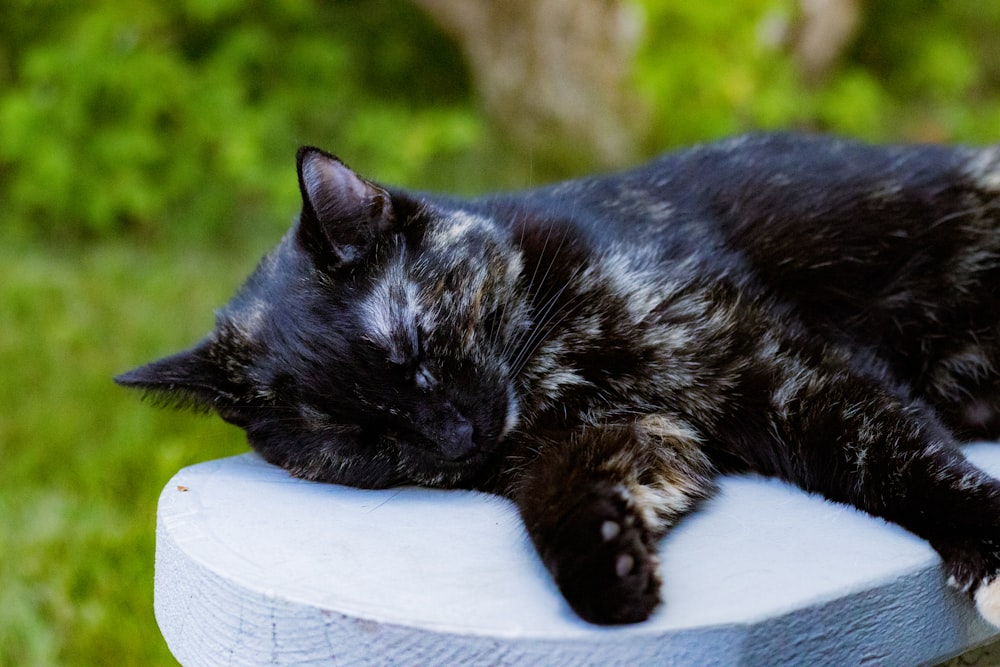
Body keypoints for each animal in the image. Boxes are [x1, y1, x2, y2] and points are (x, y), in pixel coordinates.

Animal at [113, 134, 1000, 628]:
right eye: (361, 437)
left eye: (418, 350)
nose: (459, 437)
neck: (548, 378)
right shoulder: (609, 441)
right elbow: (561, 500)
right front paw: (607, 576)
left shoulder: (773, 367)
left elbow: (890, 456)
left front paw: (985, 544)